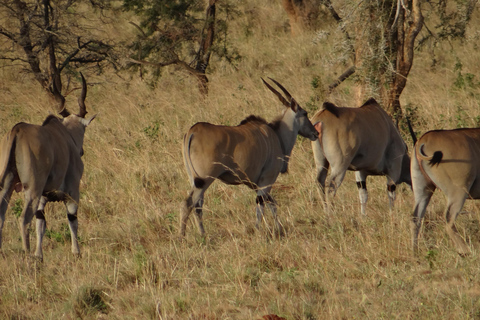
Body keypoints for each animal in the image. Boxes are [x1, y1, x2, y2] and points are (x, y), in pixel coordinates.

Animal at [0, 74, 96, 262]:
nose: (81, 151)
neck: (64, 136)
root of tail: (17, 130)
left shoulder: (43, 198)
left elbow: (41, 223)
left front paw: (39, 255)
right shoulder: (72, 192)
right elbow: (72, 220)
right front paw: (76, 252)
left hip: (7, 186)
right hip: (32, 189)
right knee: (24, 219)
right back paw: (28, 258)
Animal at [180, 78, 318, 236]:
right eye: (305, 113)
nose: (316, 133)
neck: (277, 135)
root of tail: (192, 131)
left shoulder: (258, 183)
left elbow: (271, 204)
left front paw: (279, 228)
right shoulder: (267, 180)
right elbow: (261, 205)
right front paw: (259, 230)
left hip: (195, 180)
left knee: (198, 205)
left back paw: (202, 234)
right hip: (205, 180)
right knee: (188, 203)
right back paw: (185, 236)